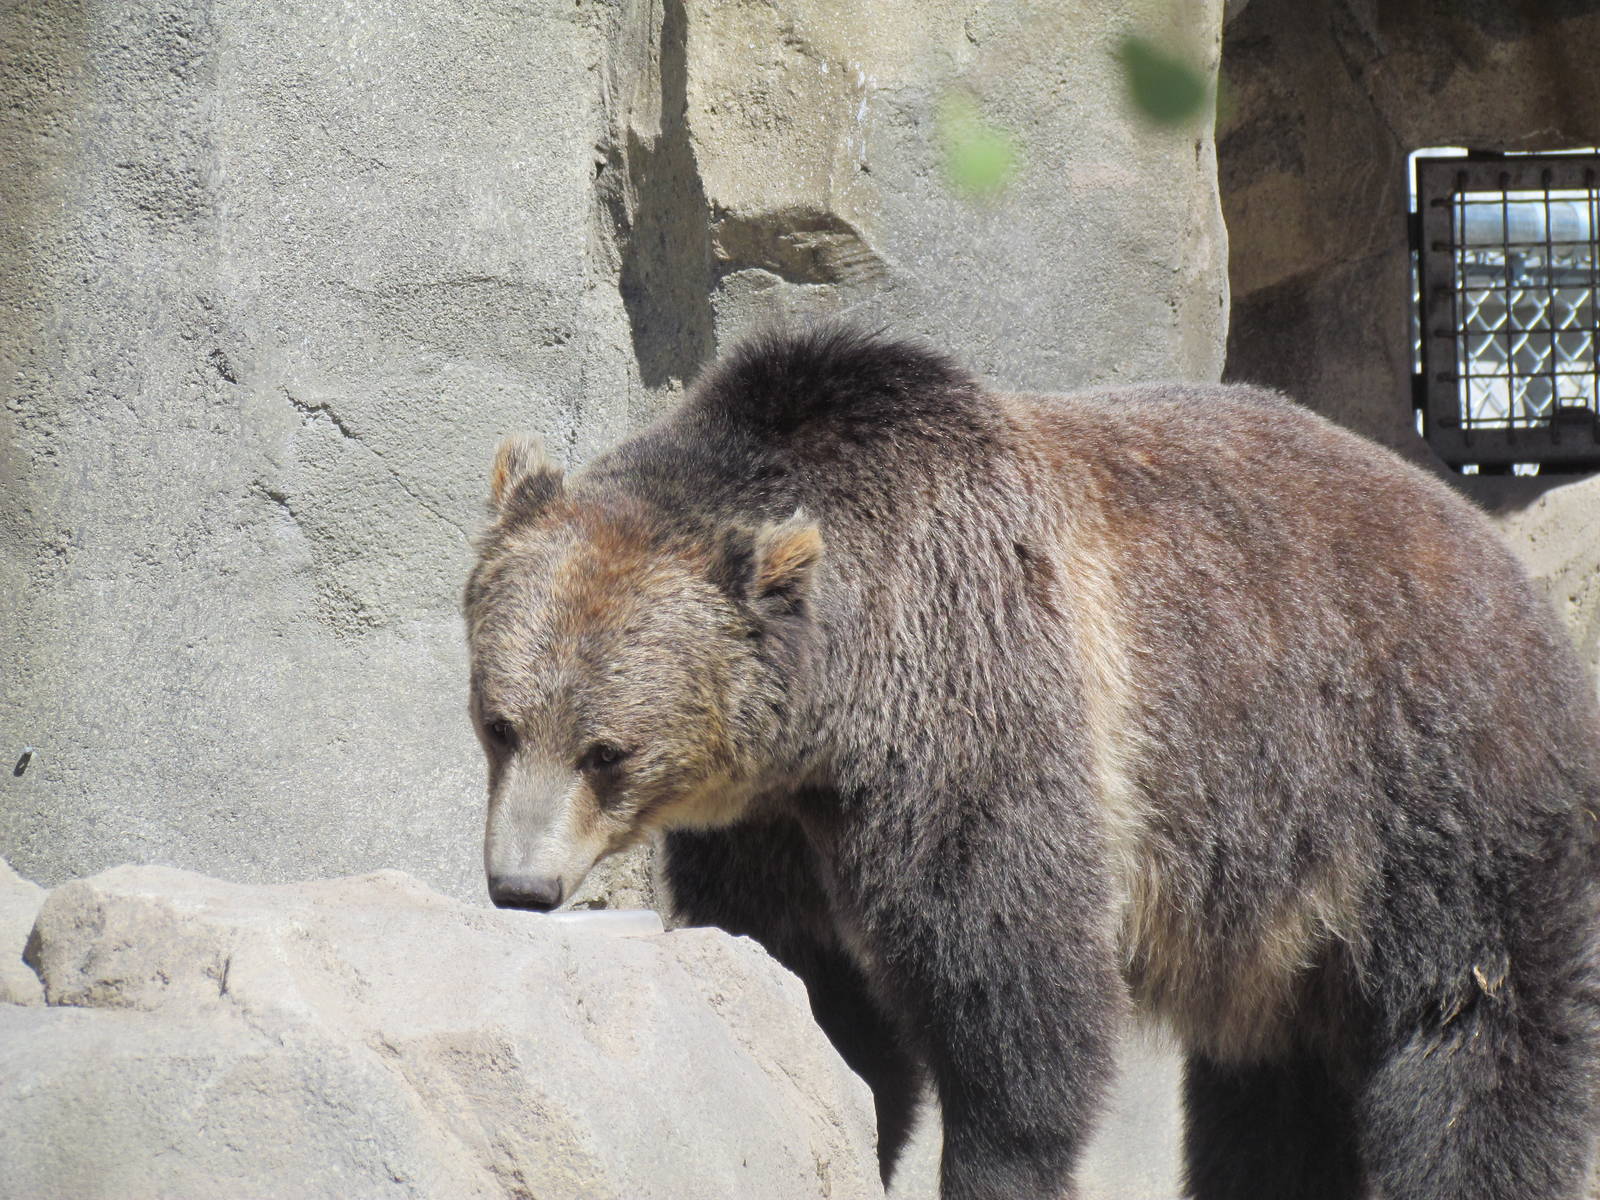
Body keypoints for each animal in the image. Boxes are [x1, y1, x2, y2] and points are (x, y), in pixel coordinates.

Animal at [462, 325, 1600, 1200]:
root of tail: (1500, 556)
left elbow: (1012, 988)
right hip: (1283, 922)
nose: (520, 885)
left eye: (607, 751)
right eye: (500, 723)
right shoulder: (774, 823)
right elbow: (815, 988)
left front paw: (989, 1165)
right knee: (1271, 1091)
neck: (838, 714)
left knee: (1472, 1035)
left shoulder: (983, 707)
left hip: (1419, 784)